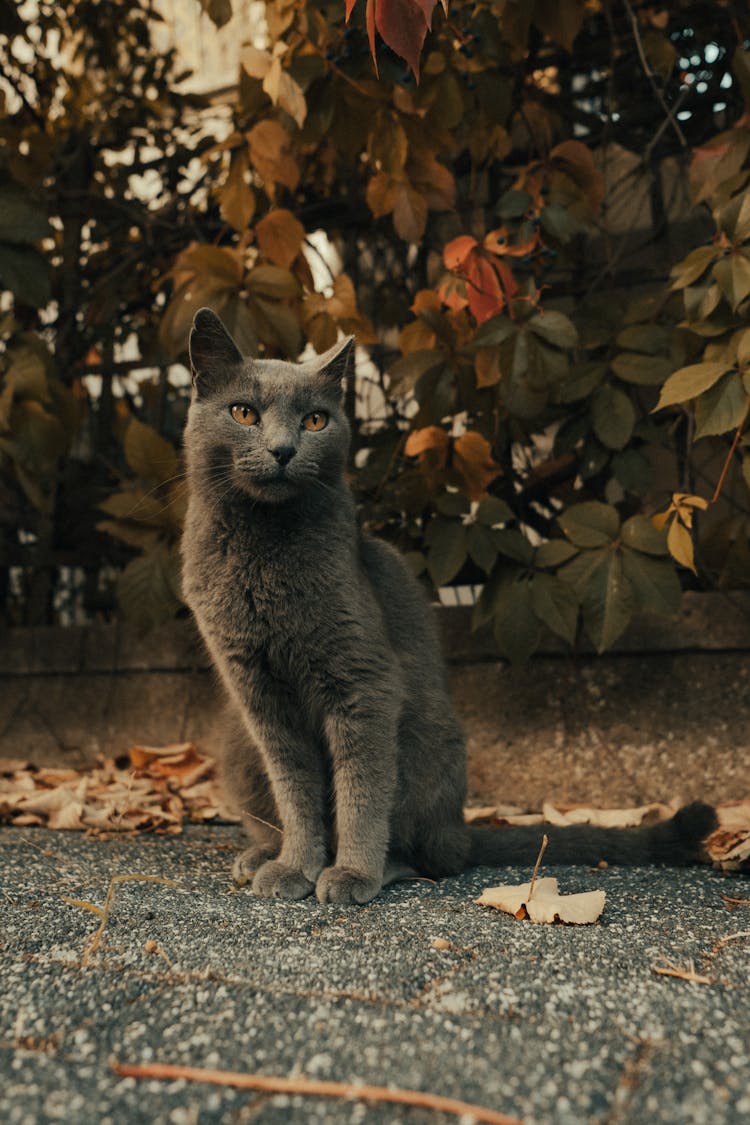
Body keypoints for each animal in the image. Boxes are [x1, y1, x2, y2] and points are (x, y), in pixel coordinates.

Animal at [179, 308, 715, 904]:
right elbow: (296, 789)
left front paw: (352, 873)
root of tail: (462, 826)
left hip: (423, 735)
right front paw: (295, 866)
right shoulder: (259, 695)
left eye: (316, 421)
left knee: (433, 853)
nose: (283, 449)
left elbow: (361, 788)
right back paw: (259, 856)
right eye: (243, 412)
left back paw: (383, 866)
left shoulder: (364, 681)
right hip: (238, 744)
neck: (263, 549)